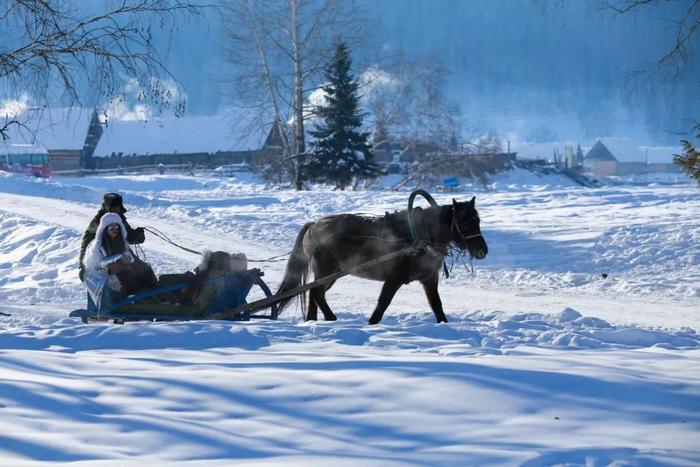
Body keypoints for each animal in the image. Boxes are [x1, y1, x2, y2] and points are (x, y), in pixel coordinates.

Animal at [274, 196, 486, 324]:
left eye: (477, 220)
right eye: (464, 222)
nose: (483, 250)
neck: (419, 237)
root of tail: (313, 225)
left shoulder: (429, 279)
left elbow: (437, 306)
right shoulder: (394, 279)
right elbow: (382, 304)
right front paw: (372, 324)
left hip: (330, 273)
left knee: (313, 293)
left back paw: (312, 320)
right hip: (327, 269)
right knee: (317, 293)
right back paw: (330, 317)